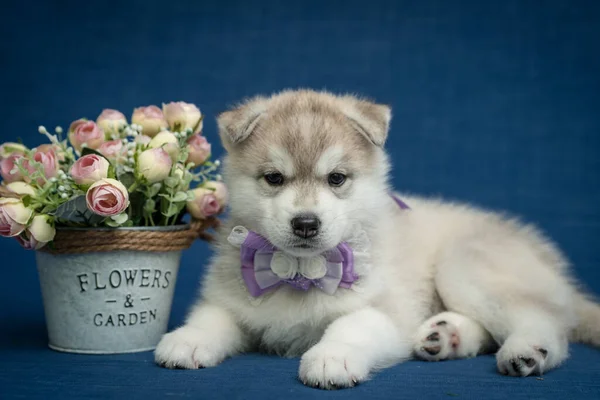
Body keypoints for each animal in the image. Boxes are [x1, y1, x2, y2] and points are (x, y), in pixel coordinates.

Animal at [156, 89, 600, 390]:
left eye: (337, 178)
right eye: (274, 178)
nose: (305, 223)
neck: (301, 271)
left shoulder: (386, 310)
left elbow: (350, 325)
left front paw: (331, 356)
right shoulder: (232, 299)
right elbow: (212, 317)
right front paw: (187, 340)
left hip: (464, 267)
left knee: (543, 321)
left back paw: (525, 352)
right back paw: (444, 337)